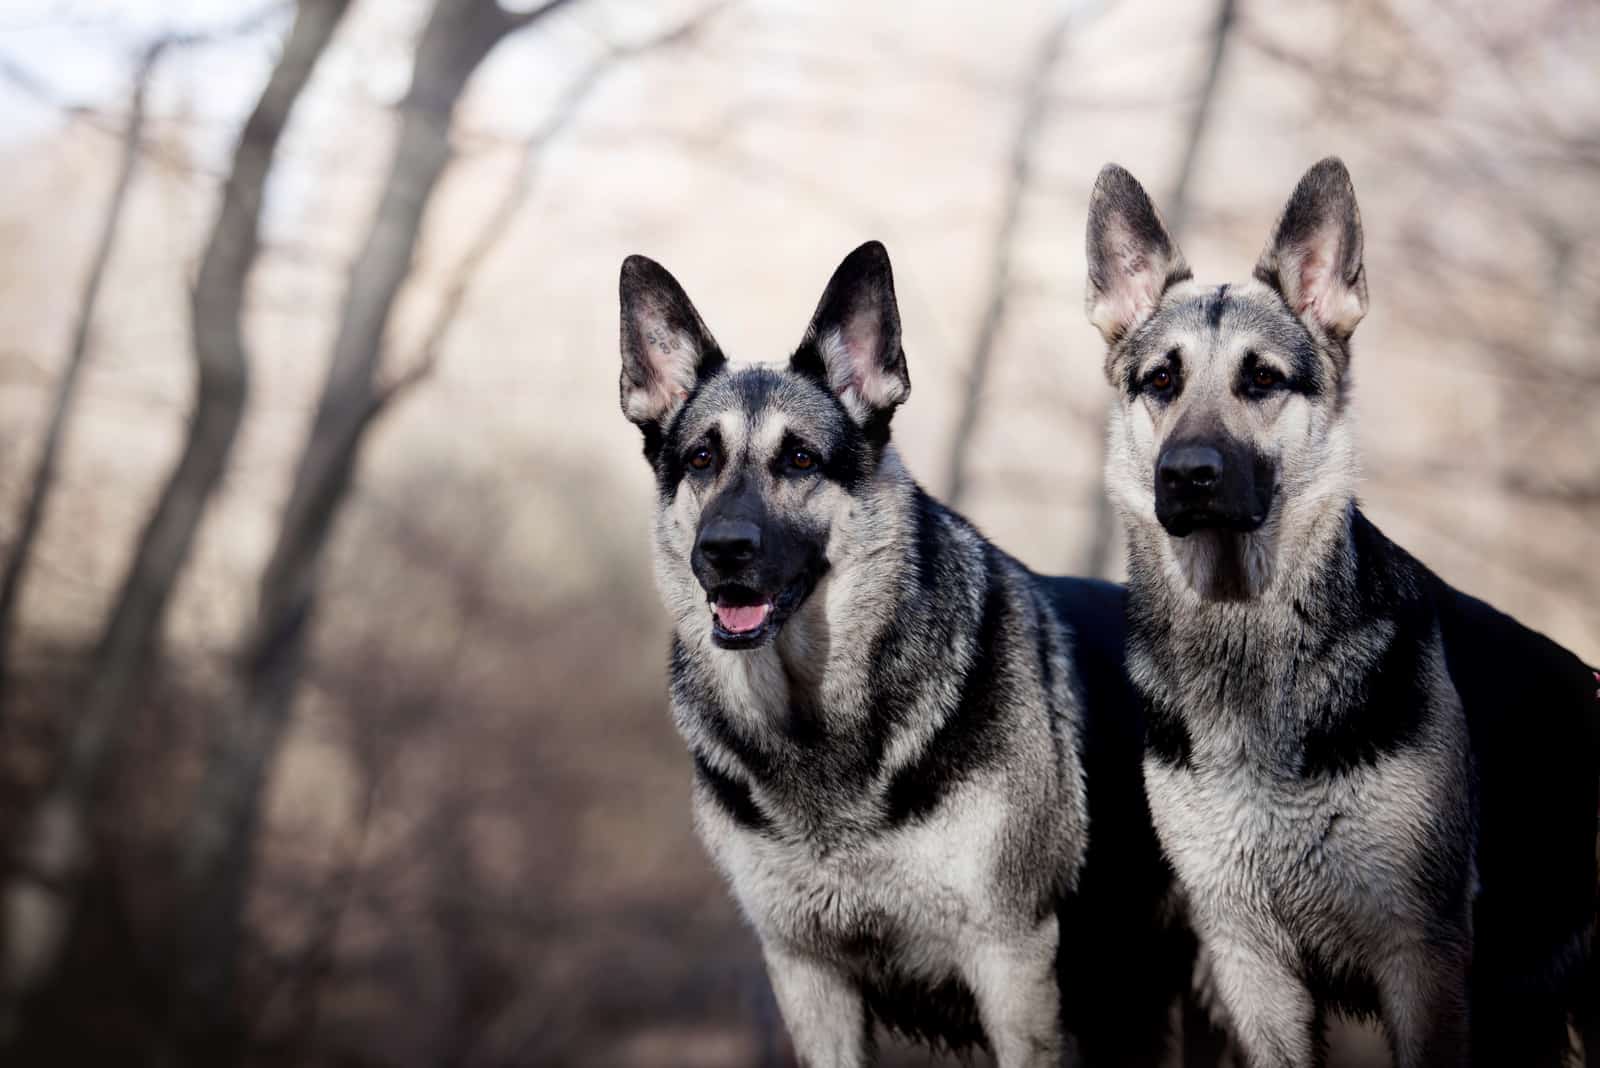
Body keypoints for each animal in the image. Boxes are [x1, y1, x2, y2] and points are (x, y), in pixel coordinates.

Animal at [614, 244, 1209, 1068]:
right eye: (702, 458)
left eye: (800, 459)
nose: (723, 551)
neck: (814, 724)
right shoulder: (809, 980)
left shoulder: (1012, 969)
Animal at [1081, 160, 1600, 1068]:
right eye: (1162, 381)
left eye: (1260, 378)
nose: (1187, 475)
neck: (1248, 648)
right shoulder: (1250, 966)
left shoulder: (1420, 961)